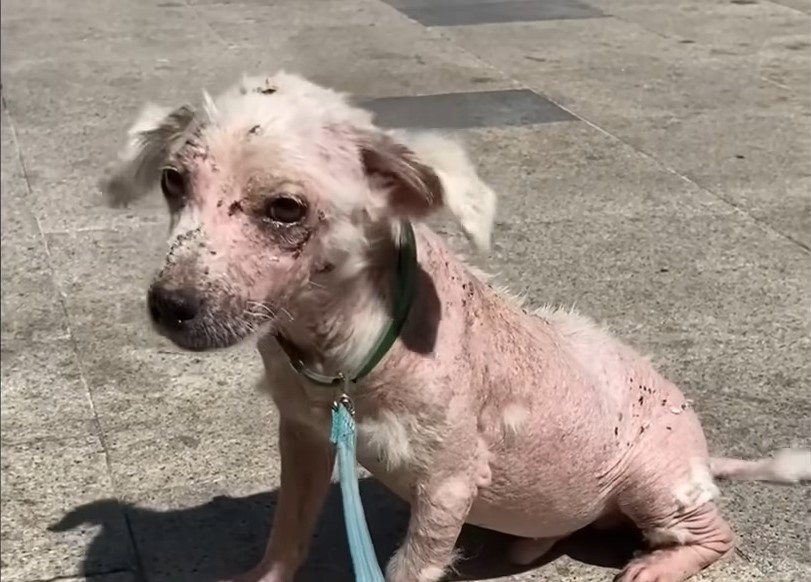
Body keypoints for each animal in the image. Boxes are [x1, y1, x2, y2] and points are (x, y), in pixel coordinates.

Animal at [103, 70, 811, 580]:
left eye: (284, 208)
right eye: (172, 182)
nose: (168, 305)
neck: (343, 360)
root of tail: (705, 456)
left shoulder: (447, 482)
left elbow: (410, 565)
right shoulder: (302, 437)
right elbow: (287, 533)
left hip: (654, 481)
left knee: (717, 535)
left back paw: (653, 567)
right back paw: (529, 546)